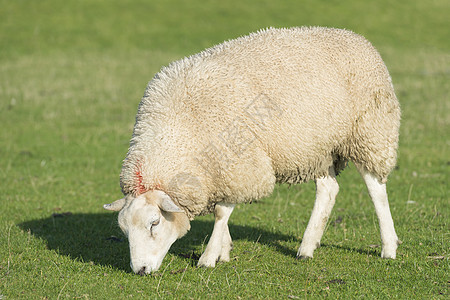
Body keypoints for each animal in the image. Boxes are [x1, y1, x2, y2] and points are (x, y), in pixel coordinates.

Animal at [104, 27, 400, 276]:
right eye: (124, 229)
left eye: (154, 223)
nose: (140, 270)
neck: (178, 133)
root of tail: (355, 36)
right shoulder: (217, 173)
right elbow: (221, 211)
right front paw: (224, 250)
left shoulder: (238, 164)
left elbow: (222, 212)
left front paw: (209, 257)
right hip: (318, 147)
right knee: (328, 189)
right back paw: (307, 247)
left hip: (369, 132)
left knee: (376, 189)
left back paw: (388, 247)